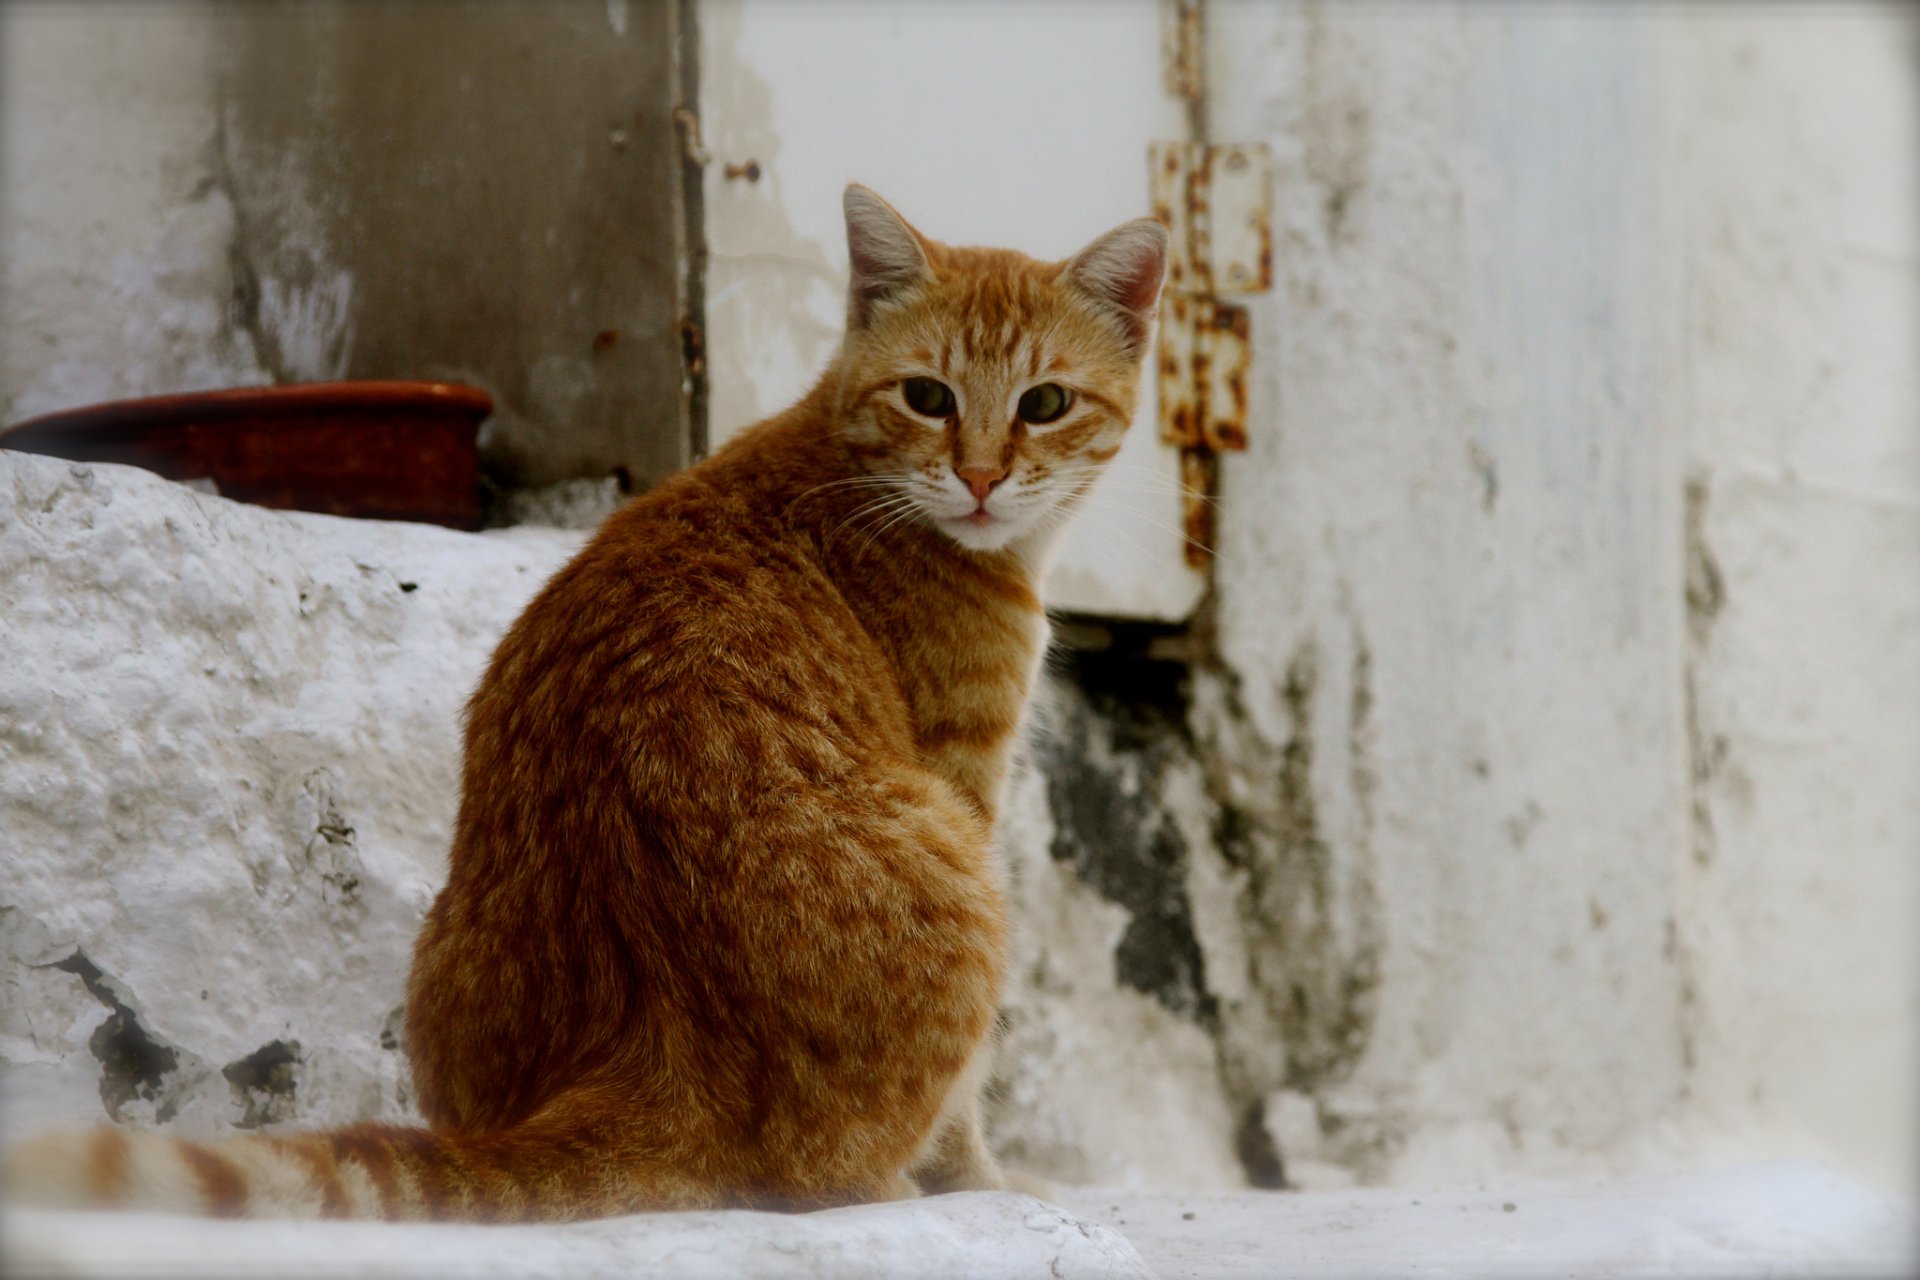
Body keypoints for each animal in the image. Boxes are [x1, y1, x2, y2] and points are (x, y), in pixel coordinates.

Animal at [3, 188, 1167, 1220]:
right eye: (929, 397)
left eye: (1044, 404)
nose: (980, 478)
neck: (857, 468)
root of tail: (661, 1047)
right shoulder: (967, 784)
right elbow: (966, 1101)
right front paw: (982, 1183)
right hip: (963, 875)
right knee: (823, 1176)